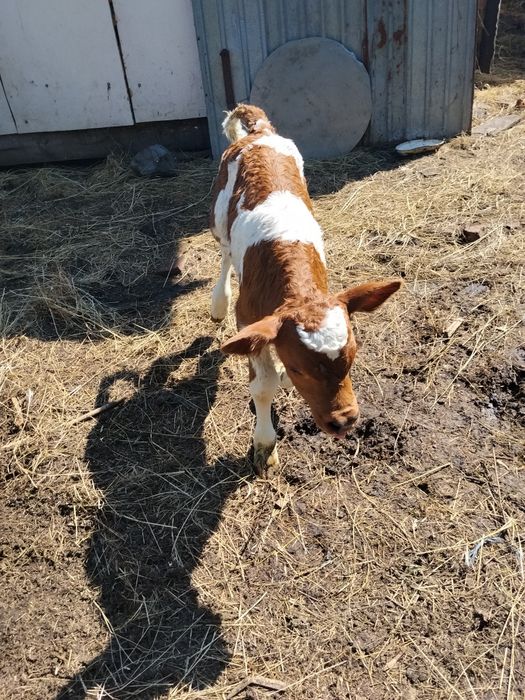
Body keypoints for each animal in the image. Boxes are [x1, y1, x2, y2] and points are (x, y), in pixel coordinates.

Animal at [209, 104, 401, 474]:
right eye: (301, 367)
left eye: (352, 357)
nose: (343, 422)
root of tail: (260, 131)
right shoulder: (248, 319)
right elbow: (264, 385)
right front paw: (264, 444)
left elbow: (276, 376)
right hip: (218, 214)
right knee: (224, 254)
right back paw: (217, 304)